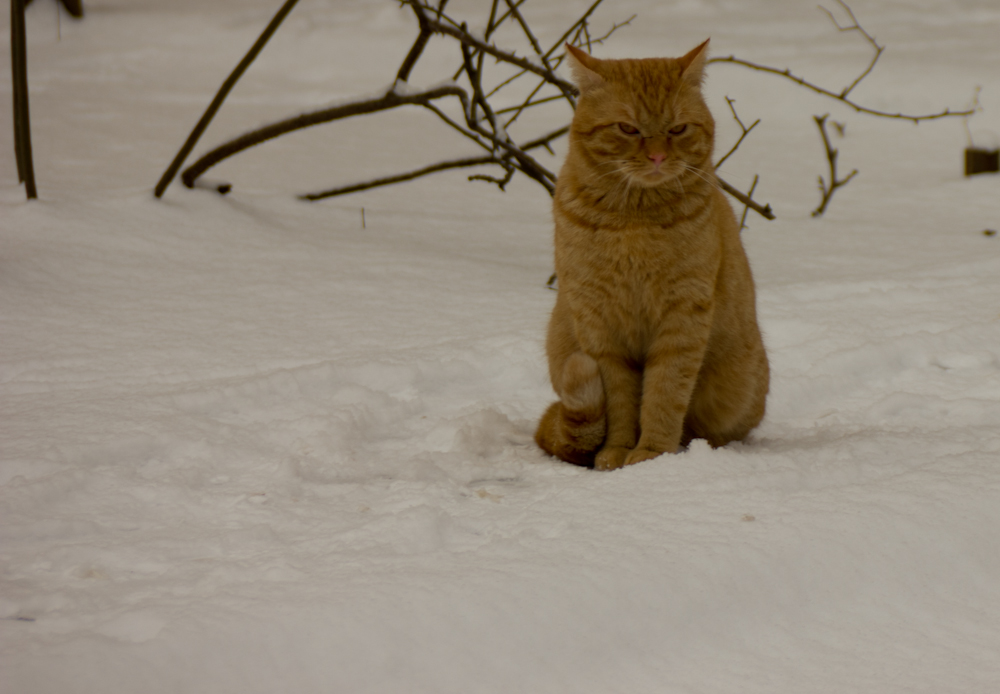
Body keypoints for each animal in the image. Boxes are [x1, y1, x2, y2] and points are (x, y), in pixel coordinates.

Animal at [536, 39, 768, 474]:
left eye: (677, 129)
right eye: (628, 128)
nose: (659, 158)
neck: (634, 219)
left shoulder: (683, 315)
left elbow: (664, 392)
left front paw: (652, 455)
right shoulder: (598, 323)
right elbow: (620, 401)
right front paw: (617, 451)